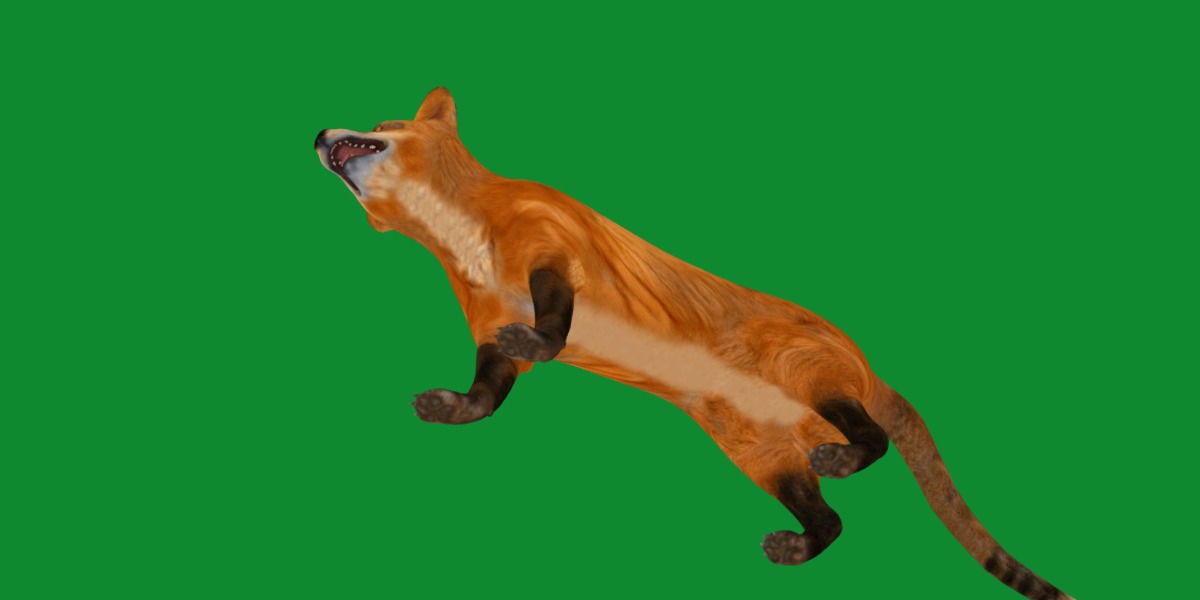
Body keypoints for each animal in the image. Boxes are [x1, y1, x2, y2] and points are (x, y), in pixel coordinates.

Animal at [314, 87, 1074, 600]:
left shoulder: (557, 253)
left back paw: (841, 456)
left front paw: (542, 342)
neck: (460, 240)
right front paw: (444, 406)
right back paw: (796, 544)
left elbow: (552, 325)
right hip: (757, 453)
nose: (320, 131)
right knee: (832, 521)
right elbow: (484, 396)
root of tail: (865, 361)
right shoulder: (488, 334)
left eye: (380, 126)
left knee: (872, 437)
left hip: (806, 374)